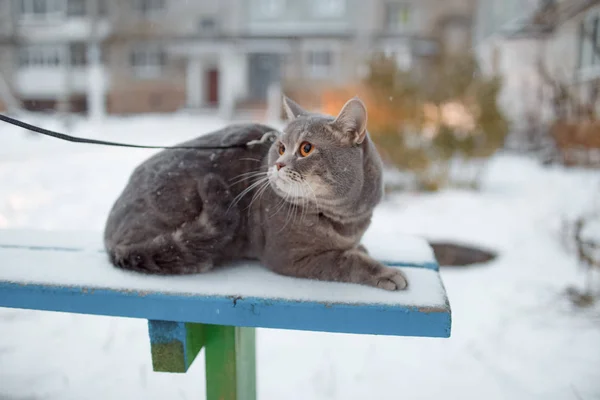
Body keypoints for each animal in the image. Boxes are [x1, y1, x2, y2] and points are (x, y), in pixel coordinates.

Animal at [104, 97, 408, 290]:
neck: (343, 219)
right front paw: (384, 272)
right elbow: (345, 261)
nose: (278, 164)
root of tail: (110, 238)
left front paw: (360, 247)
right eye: (281, 147)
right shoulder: (289, 257)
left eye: (306, 148)